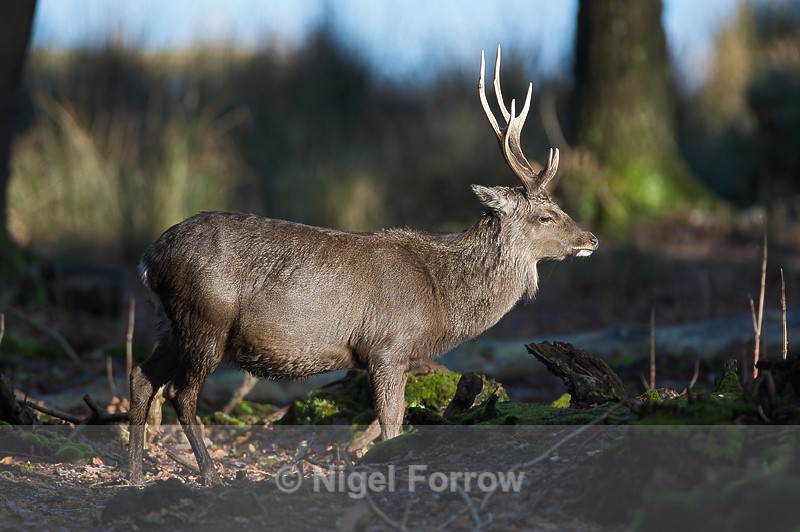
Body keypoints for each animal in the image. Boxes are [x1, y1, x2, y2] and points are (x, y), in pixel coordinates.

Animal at [127, 46, 599, 486]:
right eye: (546, 216)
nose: (591, 239)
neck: (441, 299)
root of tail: (149, 258)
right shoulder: (387, 345)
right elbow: (390, 422)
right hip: (205, 318)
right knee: (181, 392)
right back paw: (208, 473)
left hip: (170, 324)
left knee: (141, 376)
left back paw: (135, 473)